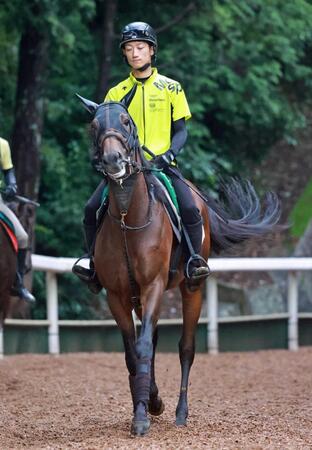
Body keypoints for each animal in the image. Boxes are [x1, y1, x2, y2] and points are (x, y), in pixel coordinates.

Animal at [76, 95, 282, 436]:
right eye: (94, 126)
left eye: (126, 121)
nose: (113, 160)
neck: (127, 218)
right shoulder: (117, 295)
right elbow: (133, 353)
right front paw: (146, 404)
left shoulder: (154, 286)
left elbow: (146, 347)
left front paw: (143, 416)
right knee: (154, 341)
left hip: (191, 289)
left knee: (186, 347)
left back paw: (180, 413)